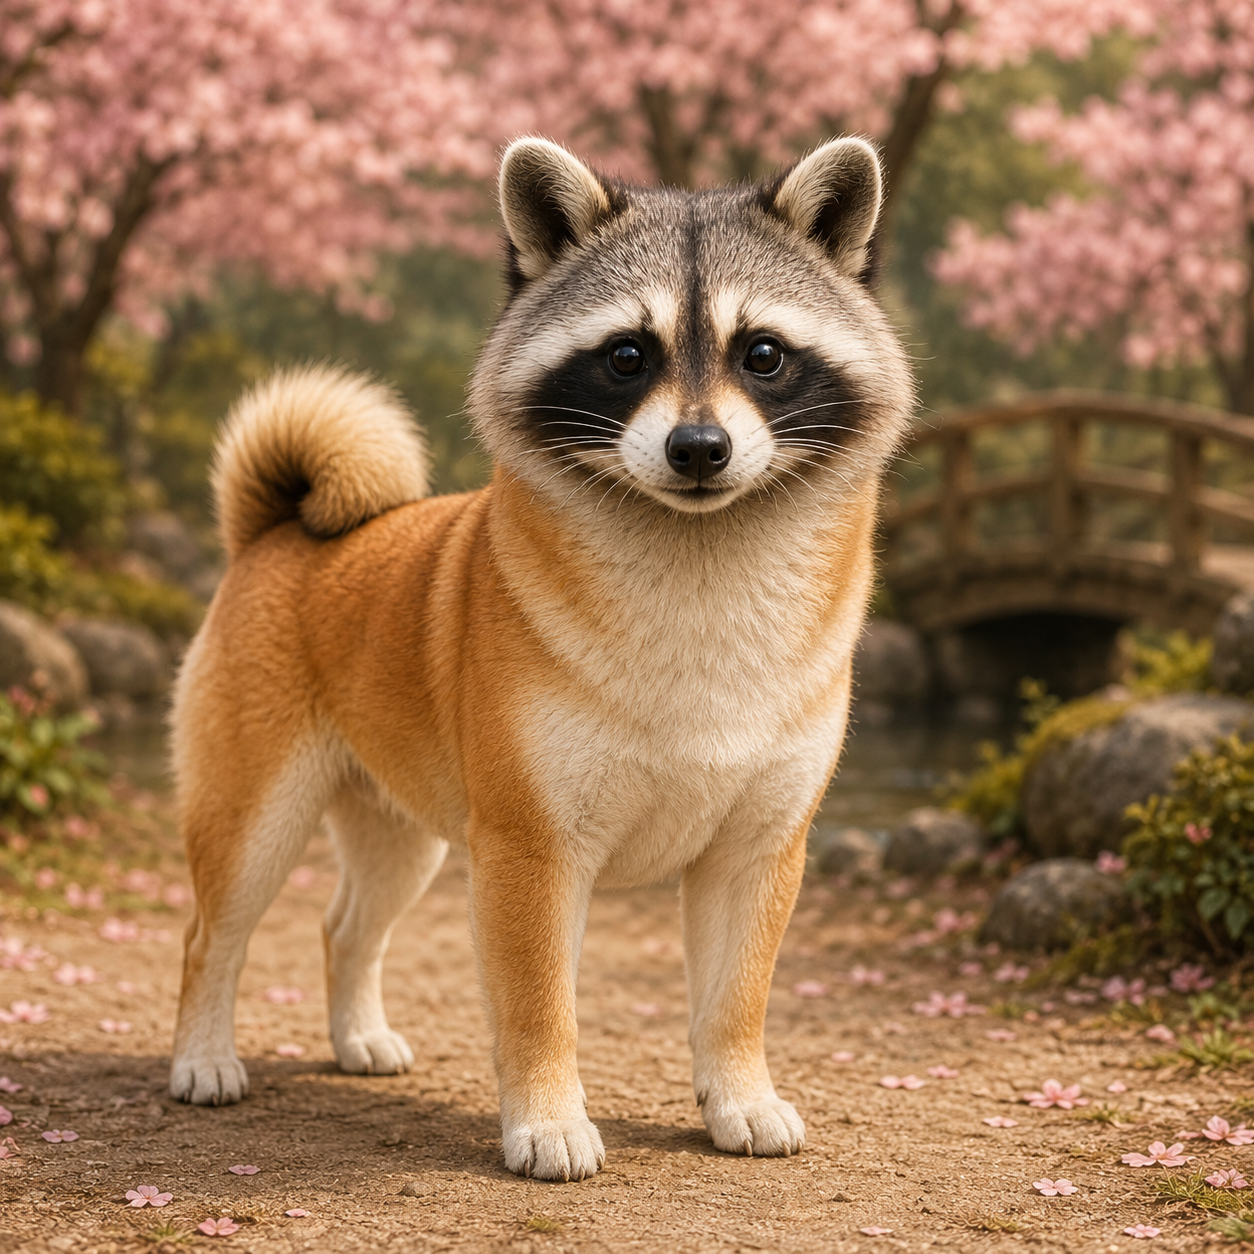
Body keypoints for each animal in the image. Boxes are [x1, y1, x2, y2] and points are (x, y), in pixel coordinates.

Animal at [168, 136, 913, 1182]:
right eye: (626, 355)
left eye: (762, 353)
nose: (698, 446)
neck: (699, 579)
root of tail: (275, 533)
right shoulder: (530, 847)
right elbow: (538, 1005)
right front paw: (548, 1119)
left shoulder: (758, 848)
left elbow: (735, 1001)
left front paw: (739, 1096)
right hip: (255, 815)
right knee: (213, 935)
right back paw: (202, 1055)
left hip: (406, 834)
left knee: (345, 928)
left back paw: (357, 1036)